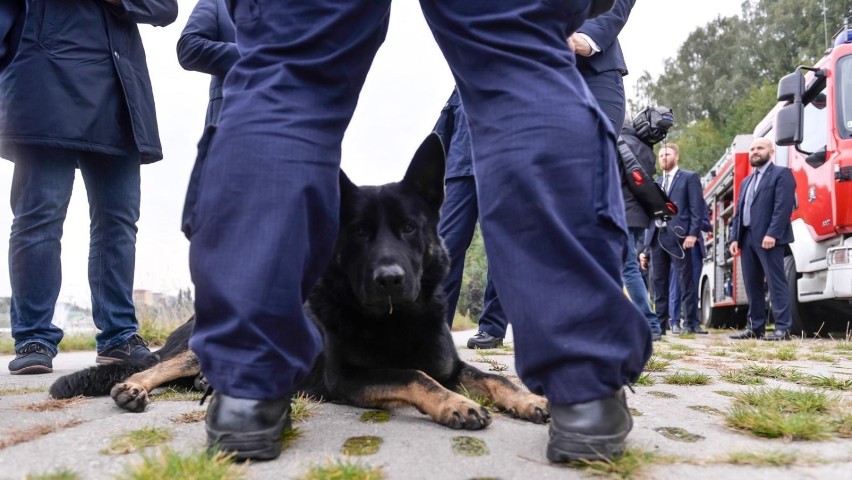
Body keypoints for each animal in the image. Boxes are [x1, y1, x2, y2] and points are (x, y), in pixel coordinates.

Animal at [51, 135, 544, 432]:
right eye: (358, 233)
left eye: (409, 228)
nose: (389, 279)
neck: (394, 320)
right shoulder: (350, 378)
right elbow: (414, 375)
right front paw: (456, 405)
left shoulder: (451, 366)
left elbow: (491, 378)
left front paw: (528, 399)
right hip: (194, 348)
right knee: (154, 368)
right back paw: (134, 388)